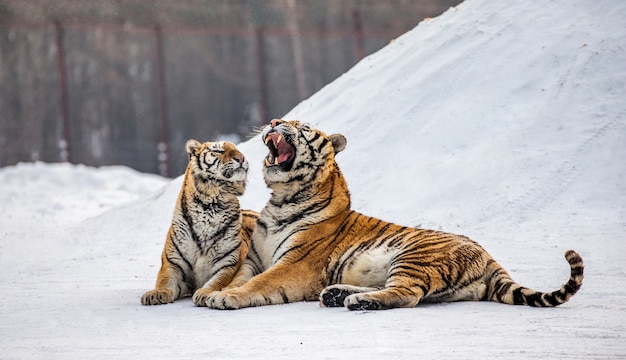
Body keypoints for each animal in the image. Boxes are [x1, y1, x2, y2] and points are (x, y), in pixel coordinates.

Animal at [141, 139, 256, 306]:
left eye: (238, 150)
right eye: (219, 151)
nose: (241, 158)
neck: (209, 207)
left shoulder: (227, 264)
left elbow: (216, 282)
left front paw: (204, 294)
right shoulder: (173, 263)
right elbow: (166, 281)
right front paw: (156, 294)